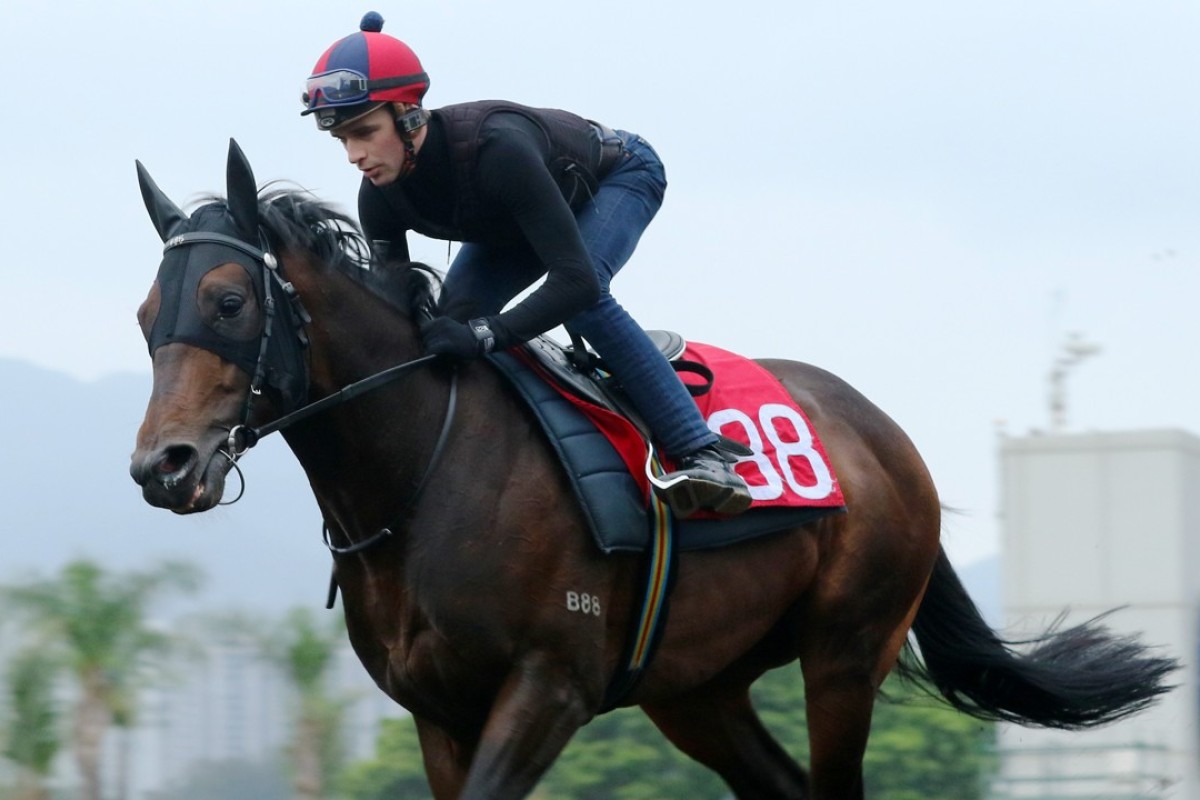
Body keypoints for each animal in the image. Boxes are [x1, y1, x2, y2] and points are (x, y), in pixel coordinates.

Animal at [126, 139, 1176, 800]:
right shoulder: (439, 714)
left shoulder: (549, 685)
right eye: (145, 316)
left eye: (227, 302)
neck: (422, 473)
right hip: (697, 688)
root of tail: (887, 435)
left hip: (847, 651)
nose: (162, 467)